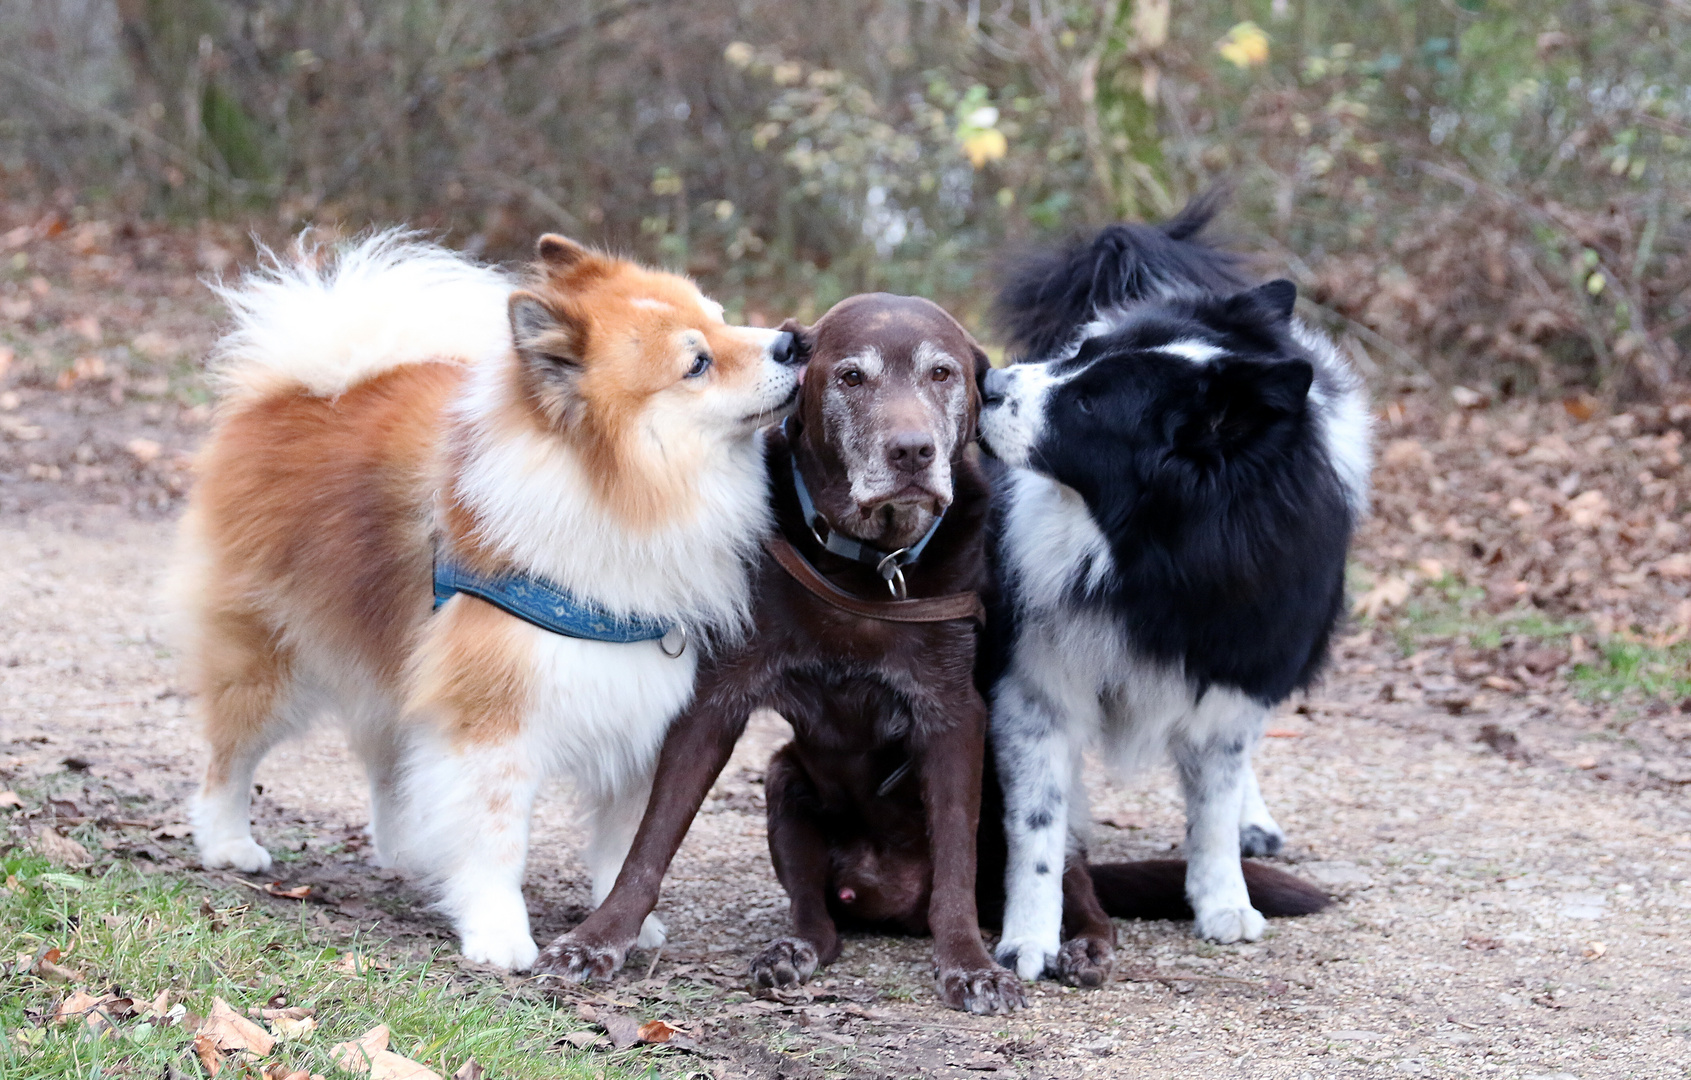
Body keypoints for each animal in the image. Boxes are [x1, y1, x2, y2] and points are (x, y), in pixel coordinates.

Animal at [178, 233, 804, 966]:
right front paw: (500, 934)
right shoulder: (494, 714)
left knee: (388, 755)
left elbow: (628, 838)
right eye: (697, 362)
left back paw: (408, 848)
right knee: (233, 752)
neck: (613, 492)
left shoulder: (640, 708)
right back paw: (227, 842)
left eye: (722, 316)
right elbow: (498, 839)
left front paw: (619, 920)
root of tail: (295, 389)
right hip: (270, 658)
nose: (793, 341)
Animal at [987, 194, 1366, 980]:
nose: (985, 382)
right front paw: (1029, 937)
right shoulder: (1036, 683)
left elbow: (1214, 800)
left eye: (1089, 406)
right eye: (1075, 355)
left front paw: (1225, 902)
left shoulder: (1233, 656)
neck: (1143, 552)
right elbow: (1037, 822)